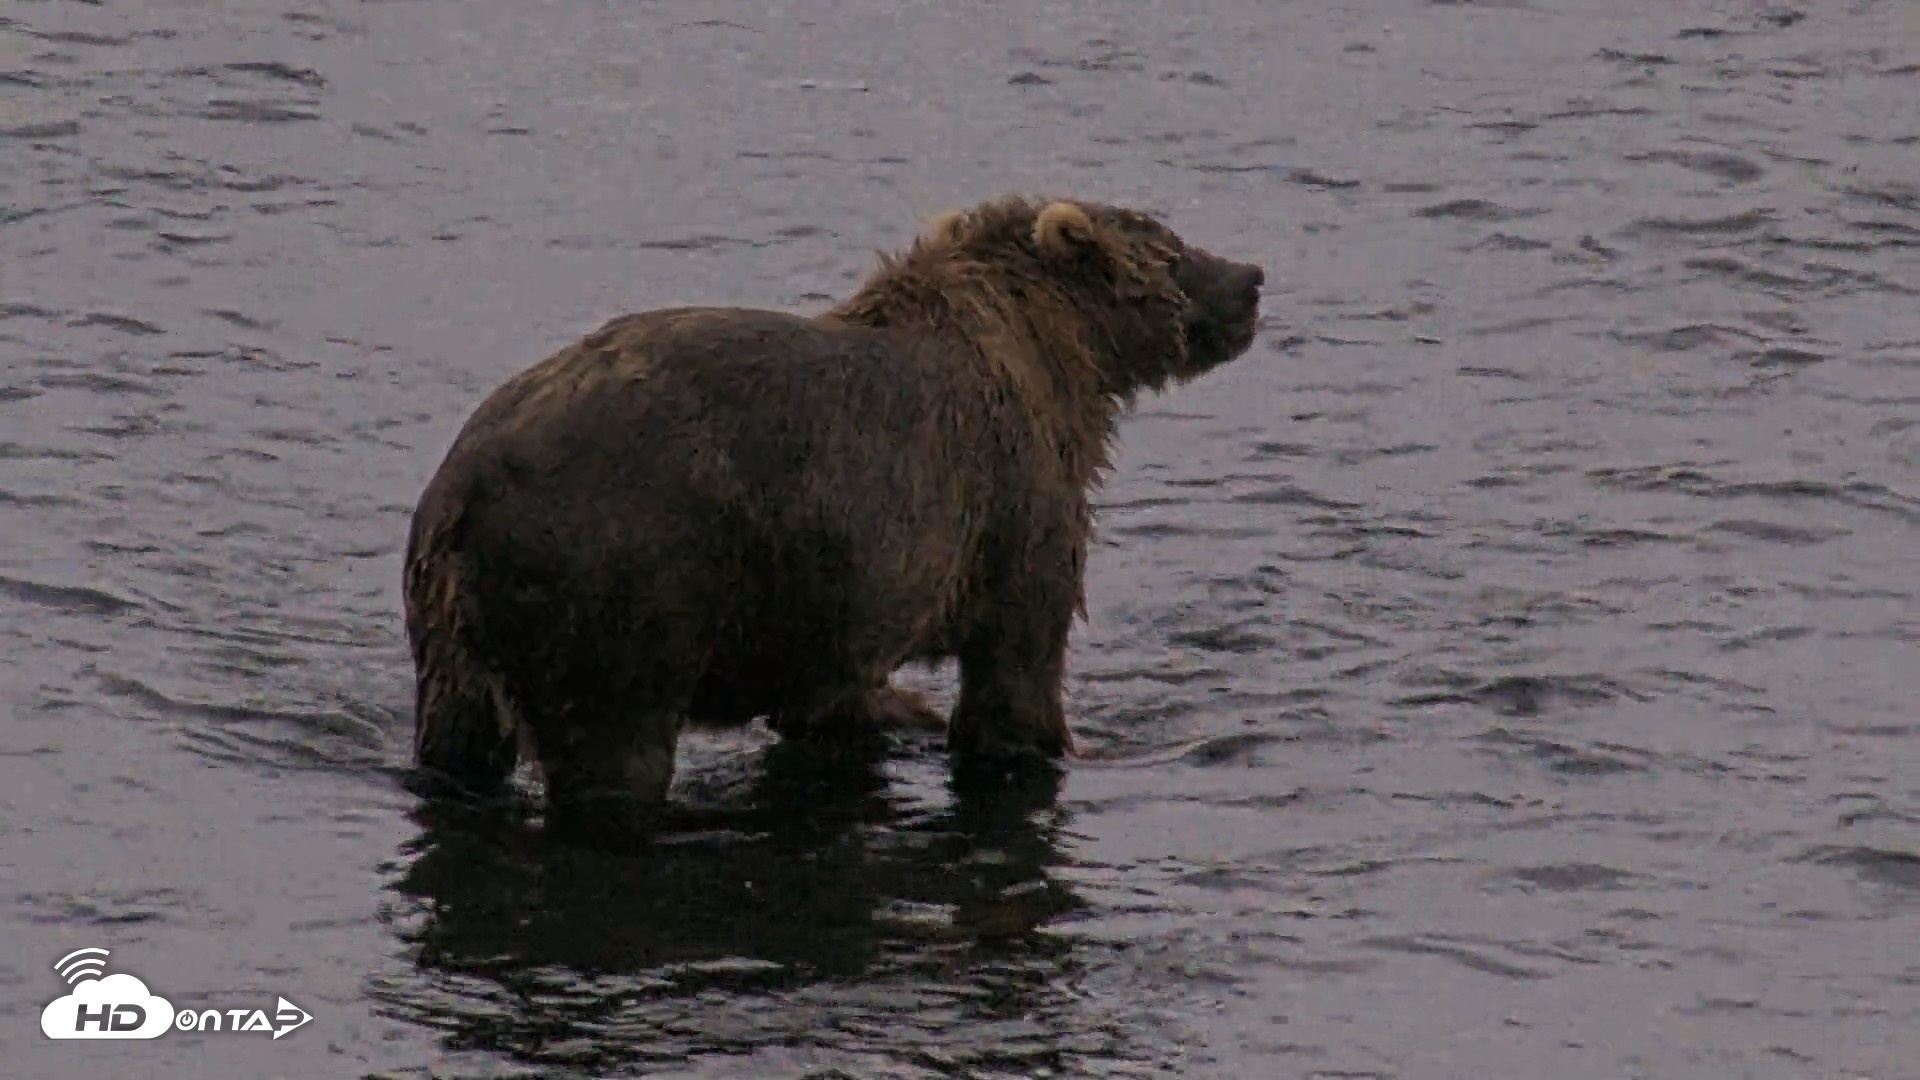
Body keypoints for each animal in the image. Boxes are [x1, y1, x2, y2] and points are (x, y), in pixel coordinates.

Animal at [401, 193, 1265, 821]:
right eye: (1173, 246)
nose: (1251, 277)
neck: (1054, 348)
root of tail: (461, 493)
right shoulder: (1010, 494)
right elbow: (1017, 664)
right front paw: (1062, 743)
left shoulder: (829, 596)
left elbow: (834, 697)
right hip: (623, 580)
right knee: (612, 746)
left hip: (452, 628)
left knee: (458, 739)